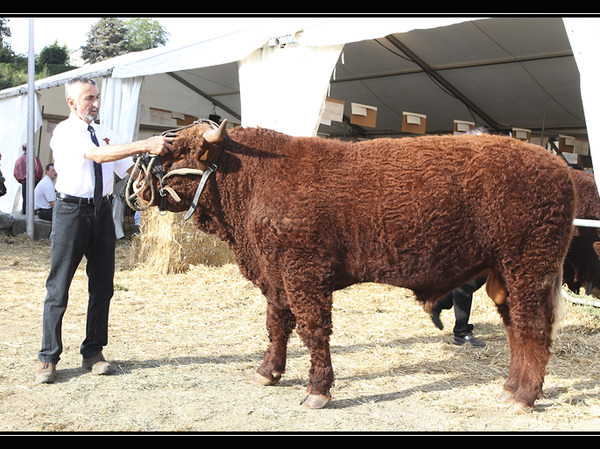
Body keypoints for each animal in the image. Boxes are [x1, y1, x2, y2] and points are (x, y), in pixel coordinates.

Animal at [136, 120, 576, 412]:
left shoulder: (304, 273)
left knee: (534, 329)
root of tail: (559, 167)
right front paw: (268, 371)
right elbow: (277, 325)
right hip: (505, 276)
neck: (257, 178)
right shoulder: (275, 276)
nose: (135, 181)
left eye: (178, 153)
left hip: (529, 268)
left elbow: (313, 331)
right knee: (517, 330)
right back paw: (510, 388)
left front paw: (317, 390)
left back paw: (524, 397)